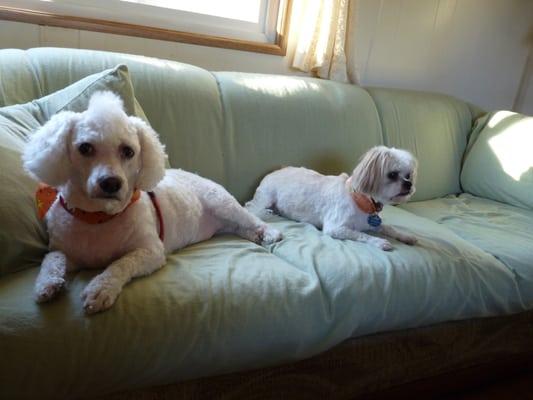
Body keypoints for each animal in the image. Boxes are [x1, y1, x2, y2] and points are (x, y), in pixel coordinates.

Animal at [22, 92, 280, 314]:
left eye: (128, 151)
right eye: (85, 148)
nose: (111, 183)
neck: (98, 218)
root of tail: (196, 174)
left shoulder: (151, 252)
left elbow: (121, 263)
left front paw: (101, 288)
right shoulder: (64, 251)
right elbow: (51, 260)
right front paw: (47, 283)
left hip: (222, 203)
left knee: (252, 219)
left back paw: (268, 233)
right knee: (239, 228)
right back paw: (254, 236)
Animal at [245, 147, 416, 252]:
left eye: (408, 175)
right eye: (392, 175)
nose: (409, 184)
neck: (360, 201)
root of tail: (275, 171)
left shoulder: (371, 222)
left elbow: (389, 228)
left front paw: (405, 236)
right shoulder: (335, 228)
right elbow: (360, 234)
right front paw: (379, 241)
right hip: (265, 198)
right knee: (250, 207)